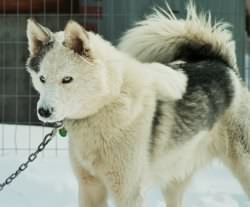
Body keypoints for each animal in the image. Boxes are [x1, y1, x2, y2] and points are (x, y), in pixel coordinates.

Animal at [25, 2, 250, 207]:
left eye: (67, 79)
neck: (109, 102)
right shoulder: (89, 187)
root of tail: (223, 65)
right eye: (42, 78)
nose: (43, 112)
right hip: (174, 178)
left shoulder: (129, 193)